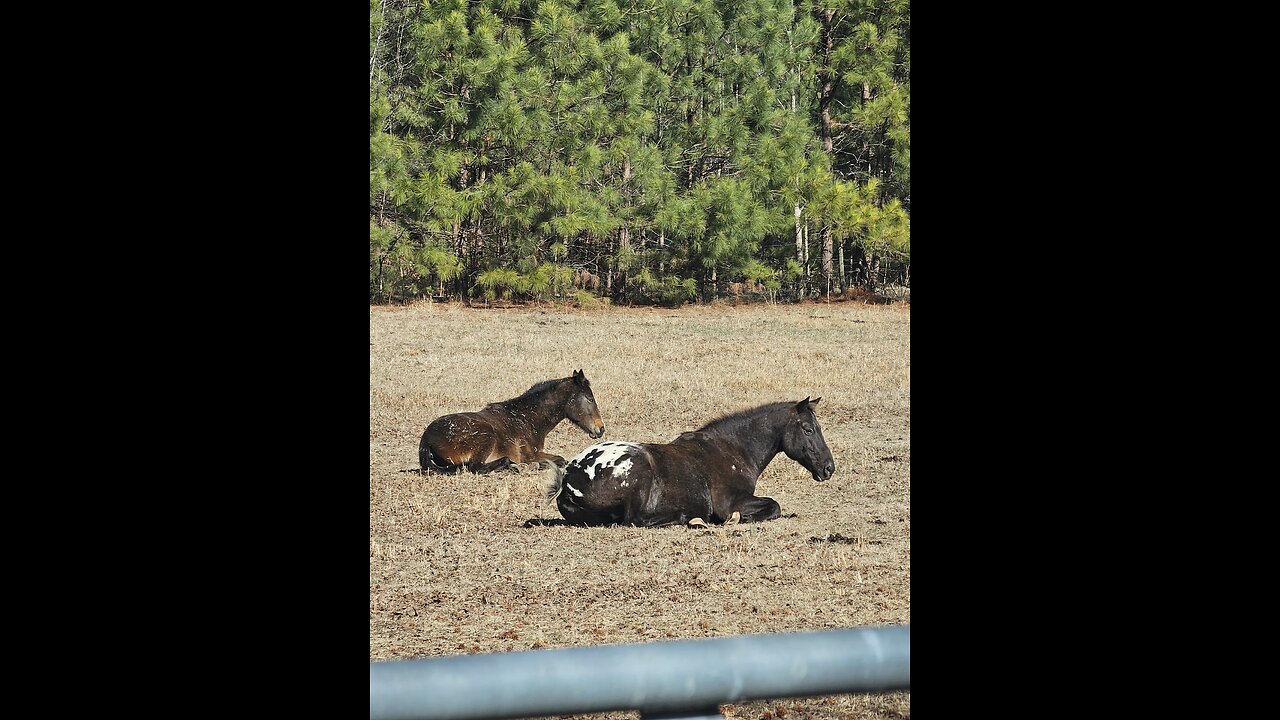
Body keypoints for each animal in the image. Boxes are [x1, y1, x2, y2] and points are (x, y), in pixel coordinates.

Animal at [419, 370, 606, 474]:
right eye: (590, 398)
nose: (601, 428)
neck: (526, 418)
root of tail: (426, 439)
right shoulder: (530, 455)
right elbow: (560, 460)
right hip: (486, 436)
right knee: (474, 467)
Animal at [545, 397, 834, 527]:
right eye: (808, 429)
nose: (828, 467)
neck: (734, 450)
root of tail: (568, 479)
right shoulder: (730, 503)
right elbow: (774, 506)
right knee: (636, 520)